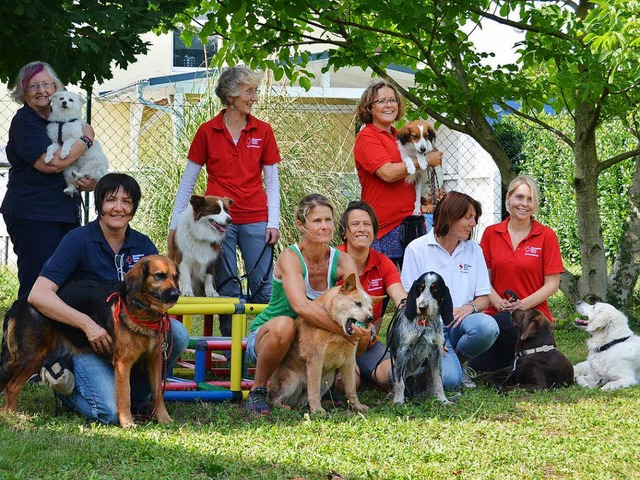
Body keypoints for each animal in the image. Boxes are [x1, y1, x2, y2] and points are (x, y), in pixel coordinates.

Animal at [0, 255, 180, 428]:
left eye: (175, 276)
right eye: (159, 275)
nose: (176, 295)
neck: (140, 308)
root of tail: (19, 303)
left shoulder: (155, 359)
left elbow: (158, 394)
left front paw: (164, 419)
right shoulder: (123, 363)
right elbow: (124, 396)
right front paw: (127, 423)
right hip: (33, 356)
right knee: (12, 385)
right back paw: (12, 416)